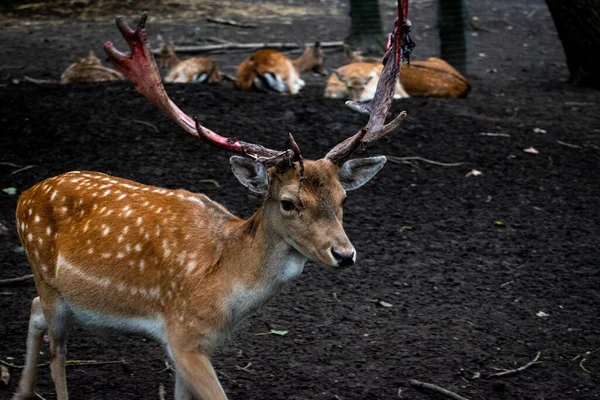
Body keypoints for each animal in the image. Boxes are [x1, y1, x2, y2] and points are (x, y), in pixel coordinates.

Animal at [10, 3, 412, 400]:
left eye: (343, 198)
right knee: (56, 349)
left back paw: (21, 392)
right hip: (46, 278)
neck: (224, 291)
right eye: (288, 202)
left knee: (33, 309)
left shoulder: (195, 344)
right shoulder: (182, 334)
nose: (345, 255)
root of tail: (26, 194)